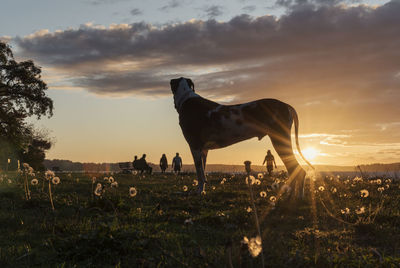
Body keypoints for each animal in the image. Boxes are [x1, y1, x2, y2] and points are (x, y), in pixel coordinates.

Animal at [170, 77, 314, 197]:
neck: (186, 100)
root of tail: (287, 106)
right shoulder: (204, 150)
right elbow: (203, 173)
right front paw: (202, 190)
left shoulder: (195, 146)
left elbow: (199, 173)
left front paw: (199, 191)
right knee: (295, 170)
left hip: (279, 140)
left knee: (298, 169)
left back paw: (297, 197)